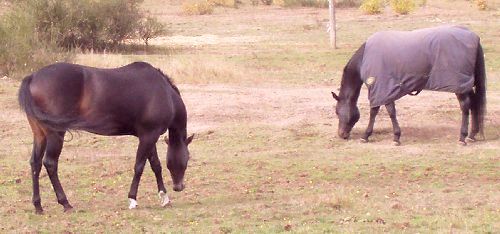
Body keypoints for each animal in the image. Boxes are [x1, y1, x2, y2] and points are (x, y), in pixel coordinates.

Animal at [18, 61, 193, 214]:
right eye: (188, 158)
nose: (179, 186)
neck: (165, 93)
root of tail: (33, 77)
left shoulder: (149, 136)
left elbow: (155, 165)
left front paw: (164, 197)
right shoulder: (149, 136)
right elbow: (139, 166)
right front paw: (132, 199)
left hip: (40, 135)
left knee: (35, 163)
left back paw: (38, 206)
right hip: (56, 134)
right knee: (50, 163)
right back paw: (65, 203)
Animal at [332, 26, 484, 145]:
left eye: (337, 111)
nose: (341, 135)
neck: (365, 59)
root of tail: (474, 37)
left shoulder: (382, 89)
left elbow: (382, 112)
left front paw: (380, 136)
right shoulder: (384, 90)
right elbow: (383, 111)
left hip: (460, 87)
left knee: (465, 107)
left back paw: (462, 137)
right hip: (466, 86)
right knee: (474, 103)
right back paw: (472, 135)